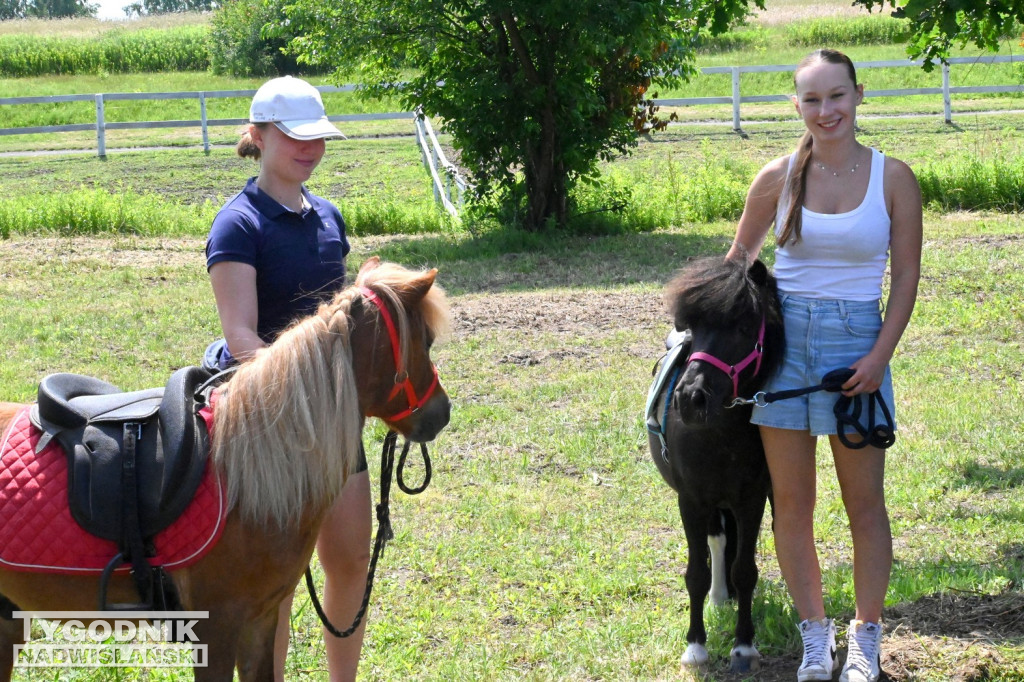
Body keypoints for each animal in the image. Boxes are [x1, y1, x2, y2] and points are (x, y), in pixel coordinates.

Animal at [647, 254, 782, 667]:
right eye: (693, 328)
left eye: (743, 327)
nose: (690, 399)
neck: (720, 435)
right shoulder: (692, 500)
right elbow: (696, 572)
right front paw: (695, 645)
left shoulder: (751, 498)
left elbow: (746, 570)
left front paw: (744, 643)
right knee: (718, 540)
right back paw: (720, 597)